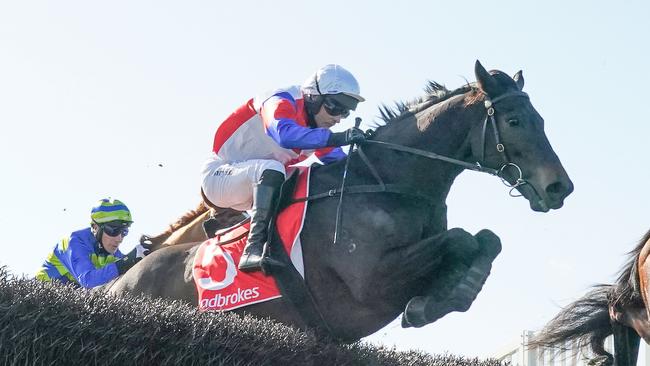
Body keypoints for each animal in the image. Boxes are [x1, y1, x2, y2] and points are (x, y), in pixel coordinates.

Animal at [106, 61, 572, 342]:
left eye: (542, 120)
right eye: (515, 120)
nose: (559, 188)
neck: (385, 182)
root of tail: (114, 284)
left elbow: (486, 239)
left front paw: (458, 286)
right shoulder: (370, 281)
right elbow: (460, 238)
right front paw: (435, 301)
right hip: (218, 185)